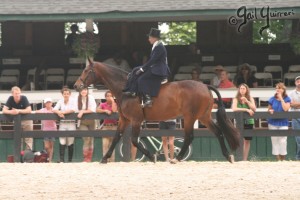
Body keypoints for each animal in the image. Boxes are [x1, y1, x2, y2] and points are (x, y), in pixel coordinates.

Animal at [74, 58, 240, 163]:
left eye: (86, 71)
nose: (76, 86)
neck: (126, 88)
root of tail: (205, 86)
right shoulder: (124, 120)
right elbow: (116, 138)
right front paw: (104, 158)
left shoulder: (136, 120)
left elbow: (134, 140)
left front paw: (151, 157)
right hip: (203, 116)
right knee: (218, 132)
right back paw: (228, 156)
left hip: (190, 117)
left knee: (189, 137)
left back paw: (176, 159)